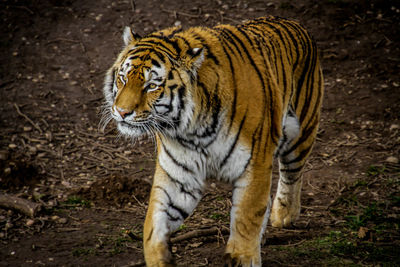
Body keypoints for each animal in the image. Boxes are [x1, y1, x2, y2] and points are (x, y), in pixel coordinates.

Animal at [102, 15, 322, 266]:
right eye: (122, 79)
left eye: (152, 86)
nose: (121, 112)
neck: (193, 129)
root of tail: (293, 22)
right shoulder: (179, 176)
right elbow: (154, 223)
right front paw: (160, 258)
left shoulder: (255, 165)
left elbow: (247, 215)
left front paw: (242, 256)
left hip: (301, 133)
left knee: (291, 174)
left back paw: (284, 215)